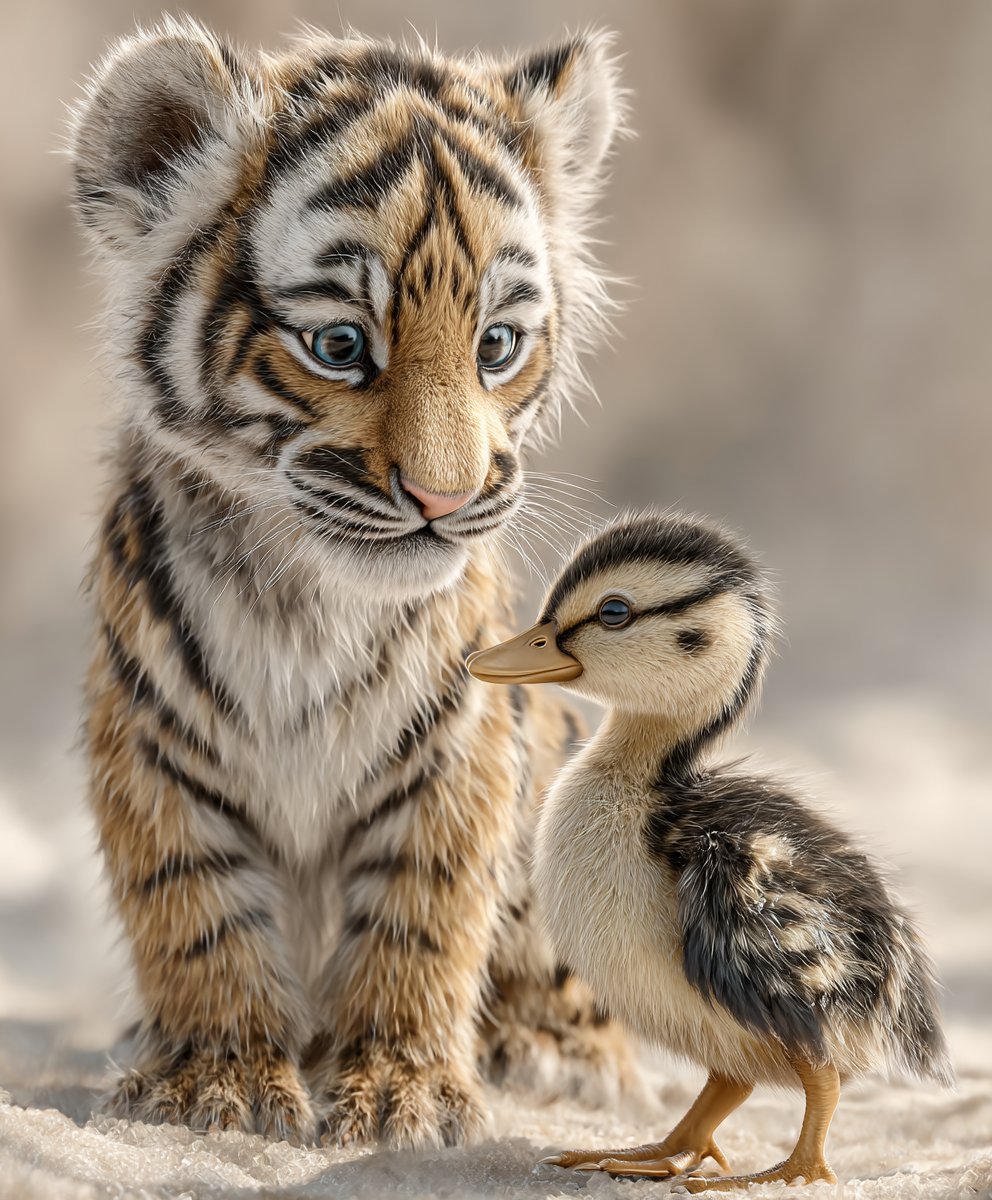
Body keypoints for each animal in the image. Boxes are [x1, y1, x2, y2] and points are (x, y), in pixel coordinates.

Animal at [69, 17, 632, 1147]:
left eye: (495, 345)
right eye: (339, 346)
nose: (442, 495)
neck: (304, 595)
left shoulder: (457, 750)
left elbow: (420, 920)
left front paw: (404, 1093)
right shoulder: (149, 741)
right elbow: (195, 913)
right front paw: (219, 1082)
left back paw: (560, 1052)